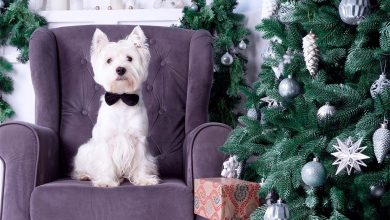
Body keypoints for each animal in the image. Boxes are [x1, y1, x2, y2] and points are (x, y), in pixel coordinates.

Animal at [72, 25, 159, 187]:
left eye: (129, 58)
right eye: (109, 60)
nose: (120, 69)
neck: (121, 98)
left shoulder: (139, 139)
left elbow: (141, 161)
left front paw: (143, 179)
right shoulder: (107, 141)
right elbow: (106, 162)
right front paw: (106, 181)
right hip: (84, 151)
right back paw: (84, 175)